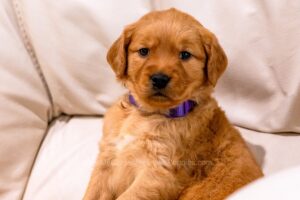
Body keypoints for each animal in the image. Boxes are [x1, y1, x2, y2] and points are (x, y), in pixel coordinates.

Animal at [83, 8, 262, 200]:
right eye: (144, 51)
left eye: (185, 54)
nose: (160, 79)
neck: (148, 113)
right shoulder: (107, 159)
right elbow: (92, 193)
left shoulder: (160, 173)